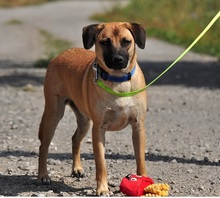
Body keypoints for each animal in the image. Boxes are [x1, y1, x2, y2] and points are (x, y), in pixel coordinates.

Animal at [38, 21, 148, 195]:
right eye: (105, 42)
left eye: (126, 41)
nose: (117, 59)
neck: (118, 82)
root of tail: (59, 55)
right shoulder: (98, 129)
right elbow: (101, 164)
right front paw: (102, 189)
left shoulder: (138, 127)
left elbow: (140, 159)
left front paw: (144, 181)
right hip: (53, 114)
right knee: (44, 146)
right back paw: (43, 175)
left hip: (84, 121)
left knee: (75, 139)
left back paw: (77, 169)